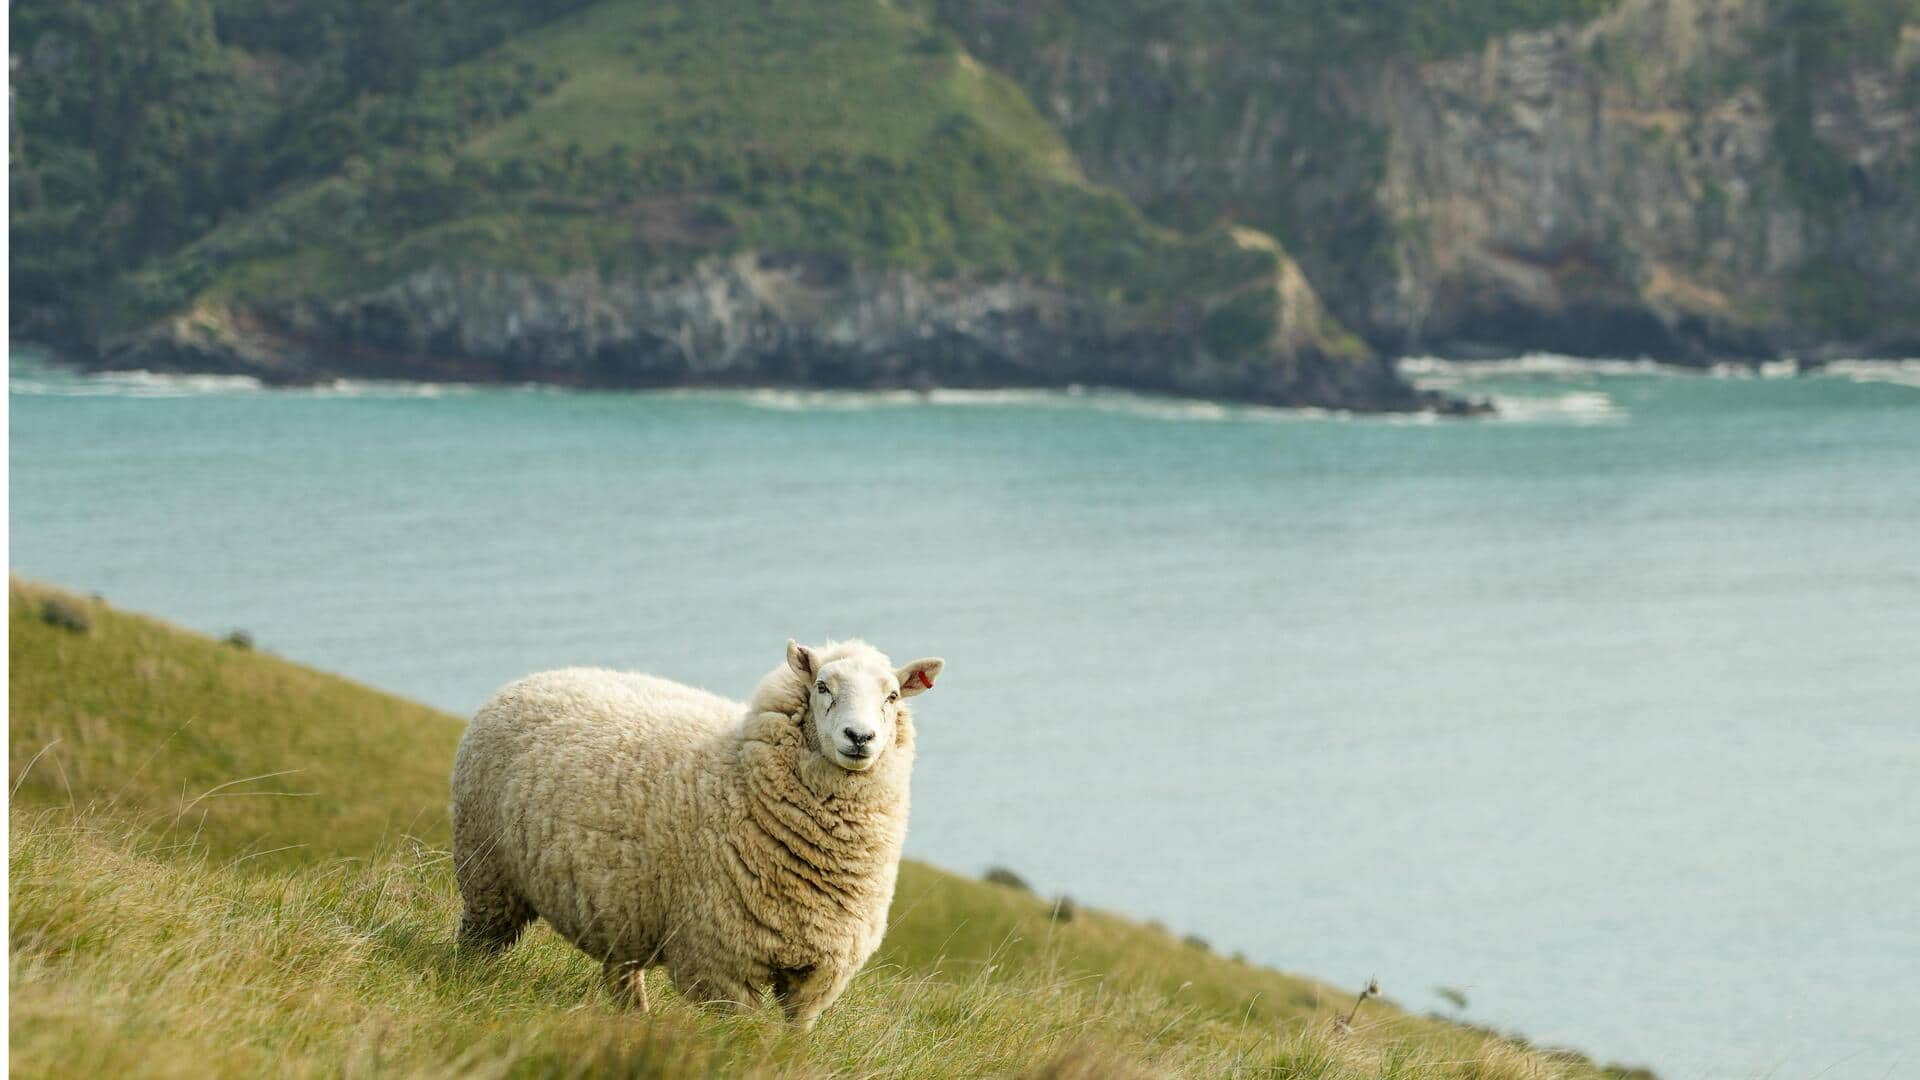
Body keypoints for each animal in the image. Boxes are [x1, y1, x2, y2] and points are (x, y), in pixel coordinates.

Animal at [441, 634, 936, 1022]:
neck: (741, 773)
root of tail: (525, 681)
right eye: (821, 686)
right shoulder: (724, 965)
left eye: (892, 696)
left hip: (622, 905)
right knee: (479, 940)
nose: (860, 737)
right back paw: (469, 984)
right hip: (487, 871)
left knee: (622, 973)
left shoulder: (818, 978)